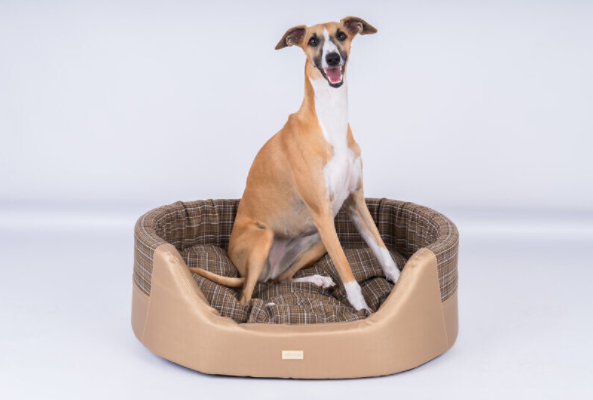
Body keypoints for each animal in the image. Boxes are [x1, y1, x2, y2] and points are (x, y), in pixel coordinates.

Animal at [190, 17, 400, 312]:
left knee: (278, 279)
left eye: (341, 35)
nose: (332, 59)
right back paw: (268, 307)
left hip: (317, 240)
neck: (330, 122)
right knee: (245, 297)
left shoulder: (355, 202)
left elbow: (383, 252)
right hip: (266, 238)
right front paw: (361, 308)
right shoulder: (322, 213)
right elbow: (345, 267)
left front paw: (402, 281)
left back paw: (317, 281)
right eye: (312, 40)